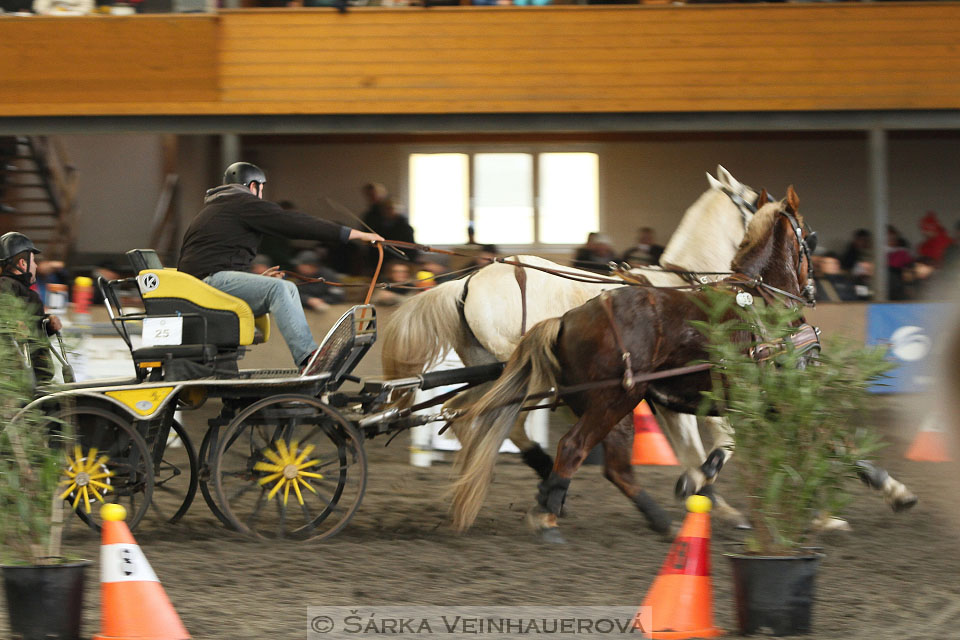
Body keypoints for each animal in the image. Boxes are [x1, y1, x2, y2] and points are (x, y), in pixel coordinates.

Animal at [382, 166, 756, 536]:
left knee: (461, 411)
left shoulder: (672, 392)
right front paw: (712, 496)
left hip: (490, 371)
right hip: (528, 377)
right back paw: (544, 482)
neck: (679, 287)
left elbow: (694, 448)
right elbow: (721, 440)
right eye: (755, 202)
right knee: (502, 421)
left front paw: (711, 499)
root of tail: (466, 283)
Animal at [454, 189, 820, 540]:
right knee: (569, 445)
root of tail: (564, 321)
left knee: (610, 465)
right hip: (613, 399)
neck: (759, 298)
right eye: (809, 237)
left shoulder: (684, 402)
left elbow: (703, 447)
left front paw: (706, 493)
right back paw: (548, 512)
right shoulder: (756, 398)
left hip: (606, 403)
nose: (811, 291)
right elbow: (745, 443)